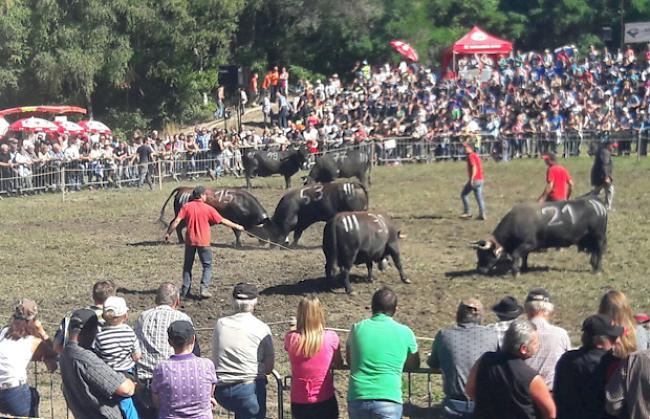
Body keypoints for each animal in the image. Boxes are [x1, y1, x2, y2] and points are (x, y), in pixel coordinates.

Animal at [468, 199, 604, 278]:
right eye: (478, 254)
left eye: (485, 254)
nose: (480, 270)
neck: (516, 222)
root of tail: (597, 204)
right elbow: (524, 256)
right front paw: (524, 268)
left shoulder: (529, 244)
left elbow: (517, 254)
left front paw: (516, 272)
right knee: (594, 252)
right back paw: (594, 266)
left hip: (598, 237)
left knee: (599, 251)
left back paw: (598, 269)